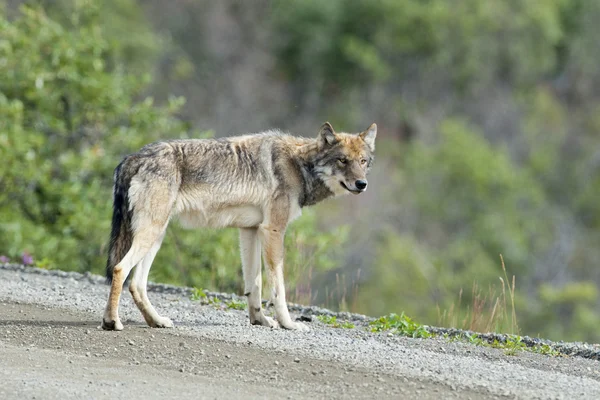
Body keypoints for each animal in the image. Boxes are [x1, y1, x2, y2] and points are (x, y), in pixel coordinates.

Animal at [102, 121, 376, 332]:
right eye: (342, 160)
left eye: (363, 161)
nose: (362, 184)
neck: (299, 165)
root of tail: (131, 157)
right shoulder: (273, 230)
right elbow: (278, 288)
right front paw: (288, 324)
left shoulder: (250, 230)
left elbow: (254, 285)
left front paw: (260, 320)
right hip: (152, 233)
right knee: (120, 269)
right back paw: (112, 322)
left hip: (156, 236)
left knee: (136, 284)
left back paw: (156, 321)